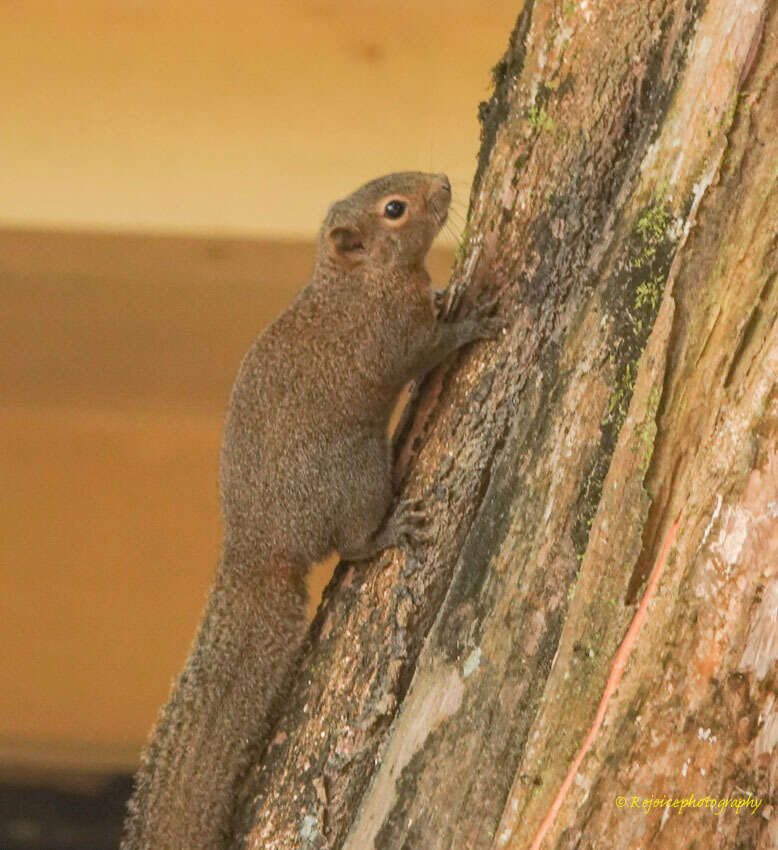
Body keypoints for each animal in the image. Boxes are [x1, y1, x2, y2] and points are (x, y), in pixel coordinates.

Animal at [119, 169, 500, 844]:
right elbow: (428, 350)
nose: (444, 182)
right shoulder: (391, 339)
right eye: (394, 208)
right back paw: (388, 530)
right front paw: (468, 316)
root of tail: (258, 549)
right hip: (357, 470)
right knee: (352, 543)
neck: (358, 282)